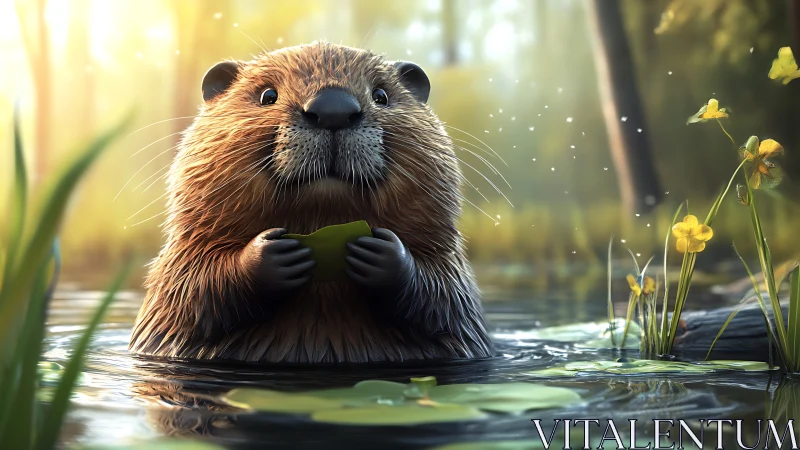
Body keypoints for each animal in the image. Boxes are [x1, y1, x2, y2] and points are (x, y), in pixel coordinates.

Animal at [129, 42, 494, 363]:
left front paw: (381, 253)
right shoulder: (183, 255)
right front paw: (274, 253)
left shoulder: (450, 265)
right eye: (267, 95)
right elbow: (191, 289)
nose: (333, 109)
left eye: (381, 95)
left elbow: (446, 296)